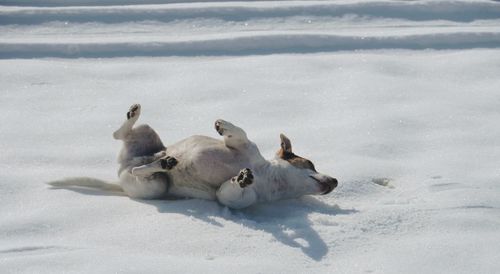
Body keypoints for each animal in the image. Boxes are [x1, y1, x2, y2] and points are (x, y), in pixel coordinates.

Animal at [114, 104, 338, 209]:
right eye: (310, 163)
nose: (336, 181)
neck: (269, 177)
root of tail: (123, 167)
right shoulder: (242, 146)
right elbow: (240, 134)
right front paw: (223, 125)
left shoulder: (234, 197)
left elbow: (228, 192)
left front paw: (242, 179)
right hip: (146, 132)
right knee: (118, 134)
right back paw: (133, 114)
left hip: (156, 185)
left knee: (141, 170)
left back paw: (162, 162)